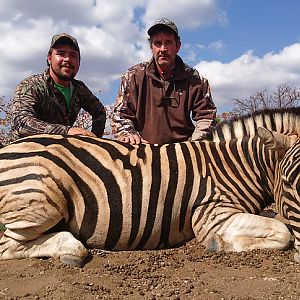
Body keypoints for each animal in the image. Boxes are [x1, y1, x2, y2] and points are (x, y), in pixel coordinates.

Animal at [0, 106, 298, 266]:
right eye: (288, 182)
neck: (236, 165)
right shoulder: (212, 215)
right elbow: (282, 232)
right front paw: (216, 244)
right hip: (40, 201)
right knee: (8, 245)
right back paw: (70, 251)